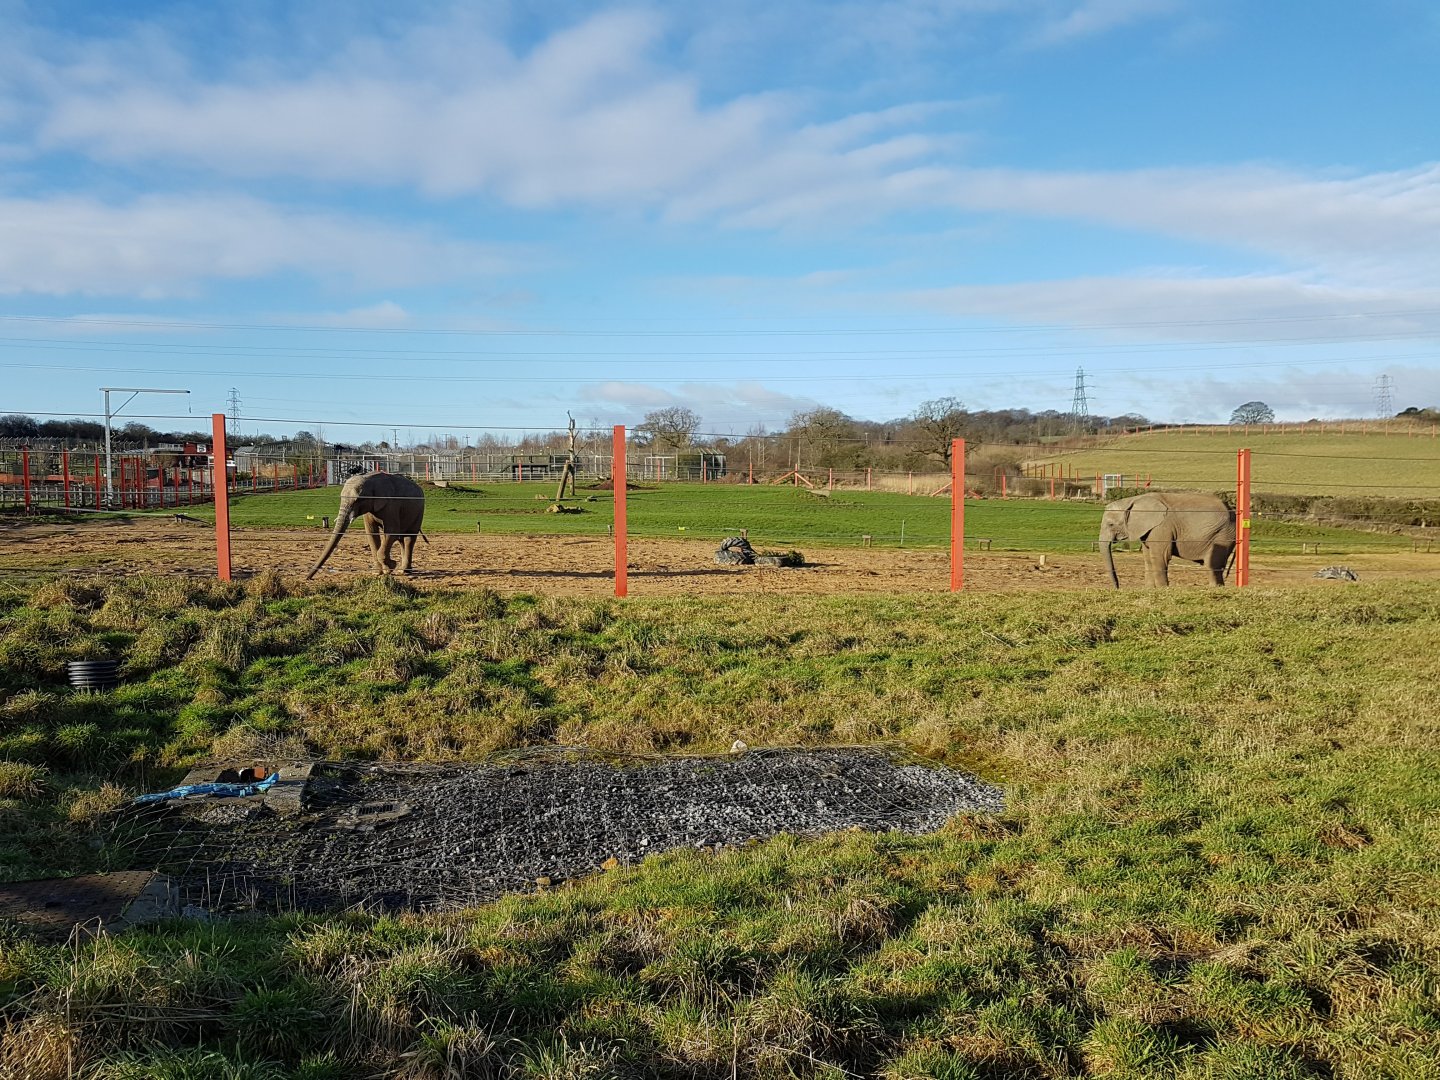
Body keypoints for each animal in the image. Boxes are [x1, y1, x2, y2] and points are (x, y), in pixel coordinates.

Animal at [1099, 492, 1236, 588]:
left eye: (1111, 524)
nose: (1117, 587)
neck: (1134, 499)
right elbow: (1148, 558)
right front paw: (1149, 589)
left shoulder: (1162, 527)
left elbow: (1160, 556)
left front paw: (1162, 588)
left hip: (1222, 534)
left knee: (1213, 564)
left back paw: (1215, 588)